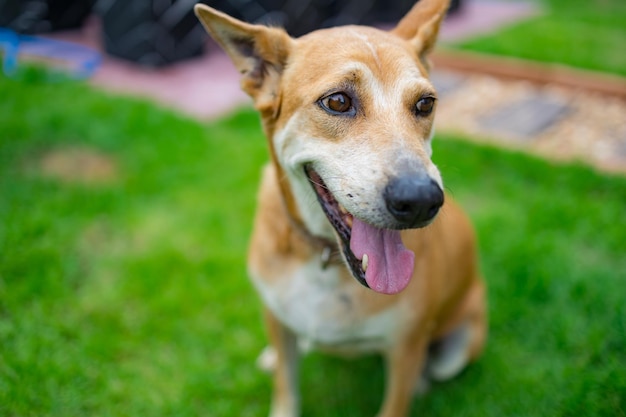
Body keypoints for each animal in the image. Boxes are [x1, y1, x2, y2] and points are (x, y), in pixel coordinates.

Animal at [193, 1, 486, 414]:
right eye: (337, 101)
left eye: (425, 103)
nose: (420, 201)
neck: (325, 258)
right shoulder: (275, 317)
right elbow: (286, 386)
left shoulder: (406, 346)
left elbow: (396, 400)